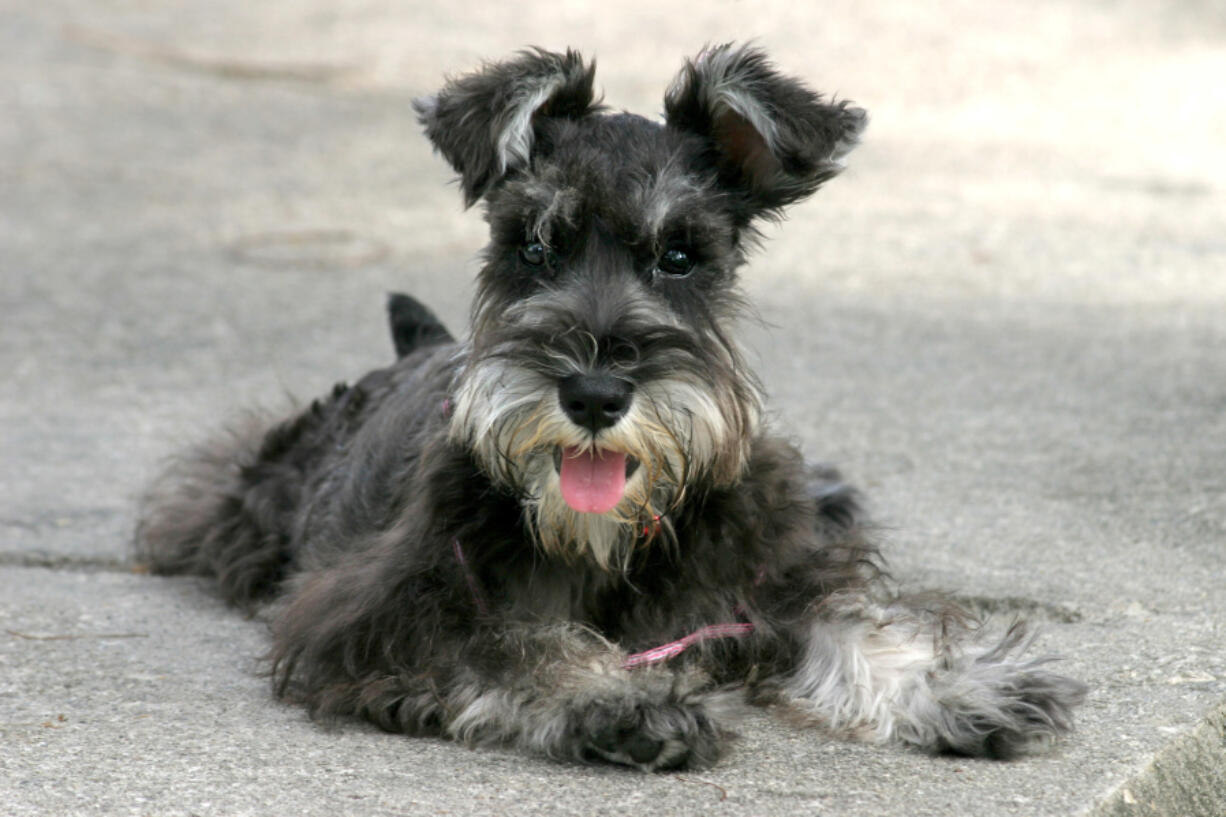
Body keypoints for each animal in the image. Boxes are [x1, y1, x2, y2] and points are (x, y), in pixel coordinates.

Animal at [139, 44, 1088, 770]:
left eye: (681, 253)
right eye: (531, 246)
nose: (594, 392)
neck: (601, 533)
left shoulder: (767, 573)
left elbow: (848, 617)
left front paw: (963, 683)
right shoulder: (389, 611)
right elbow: (518, 642)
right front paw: (618, 701)